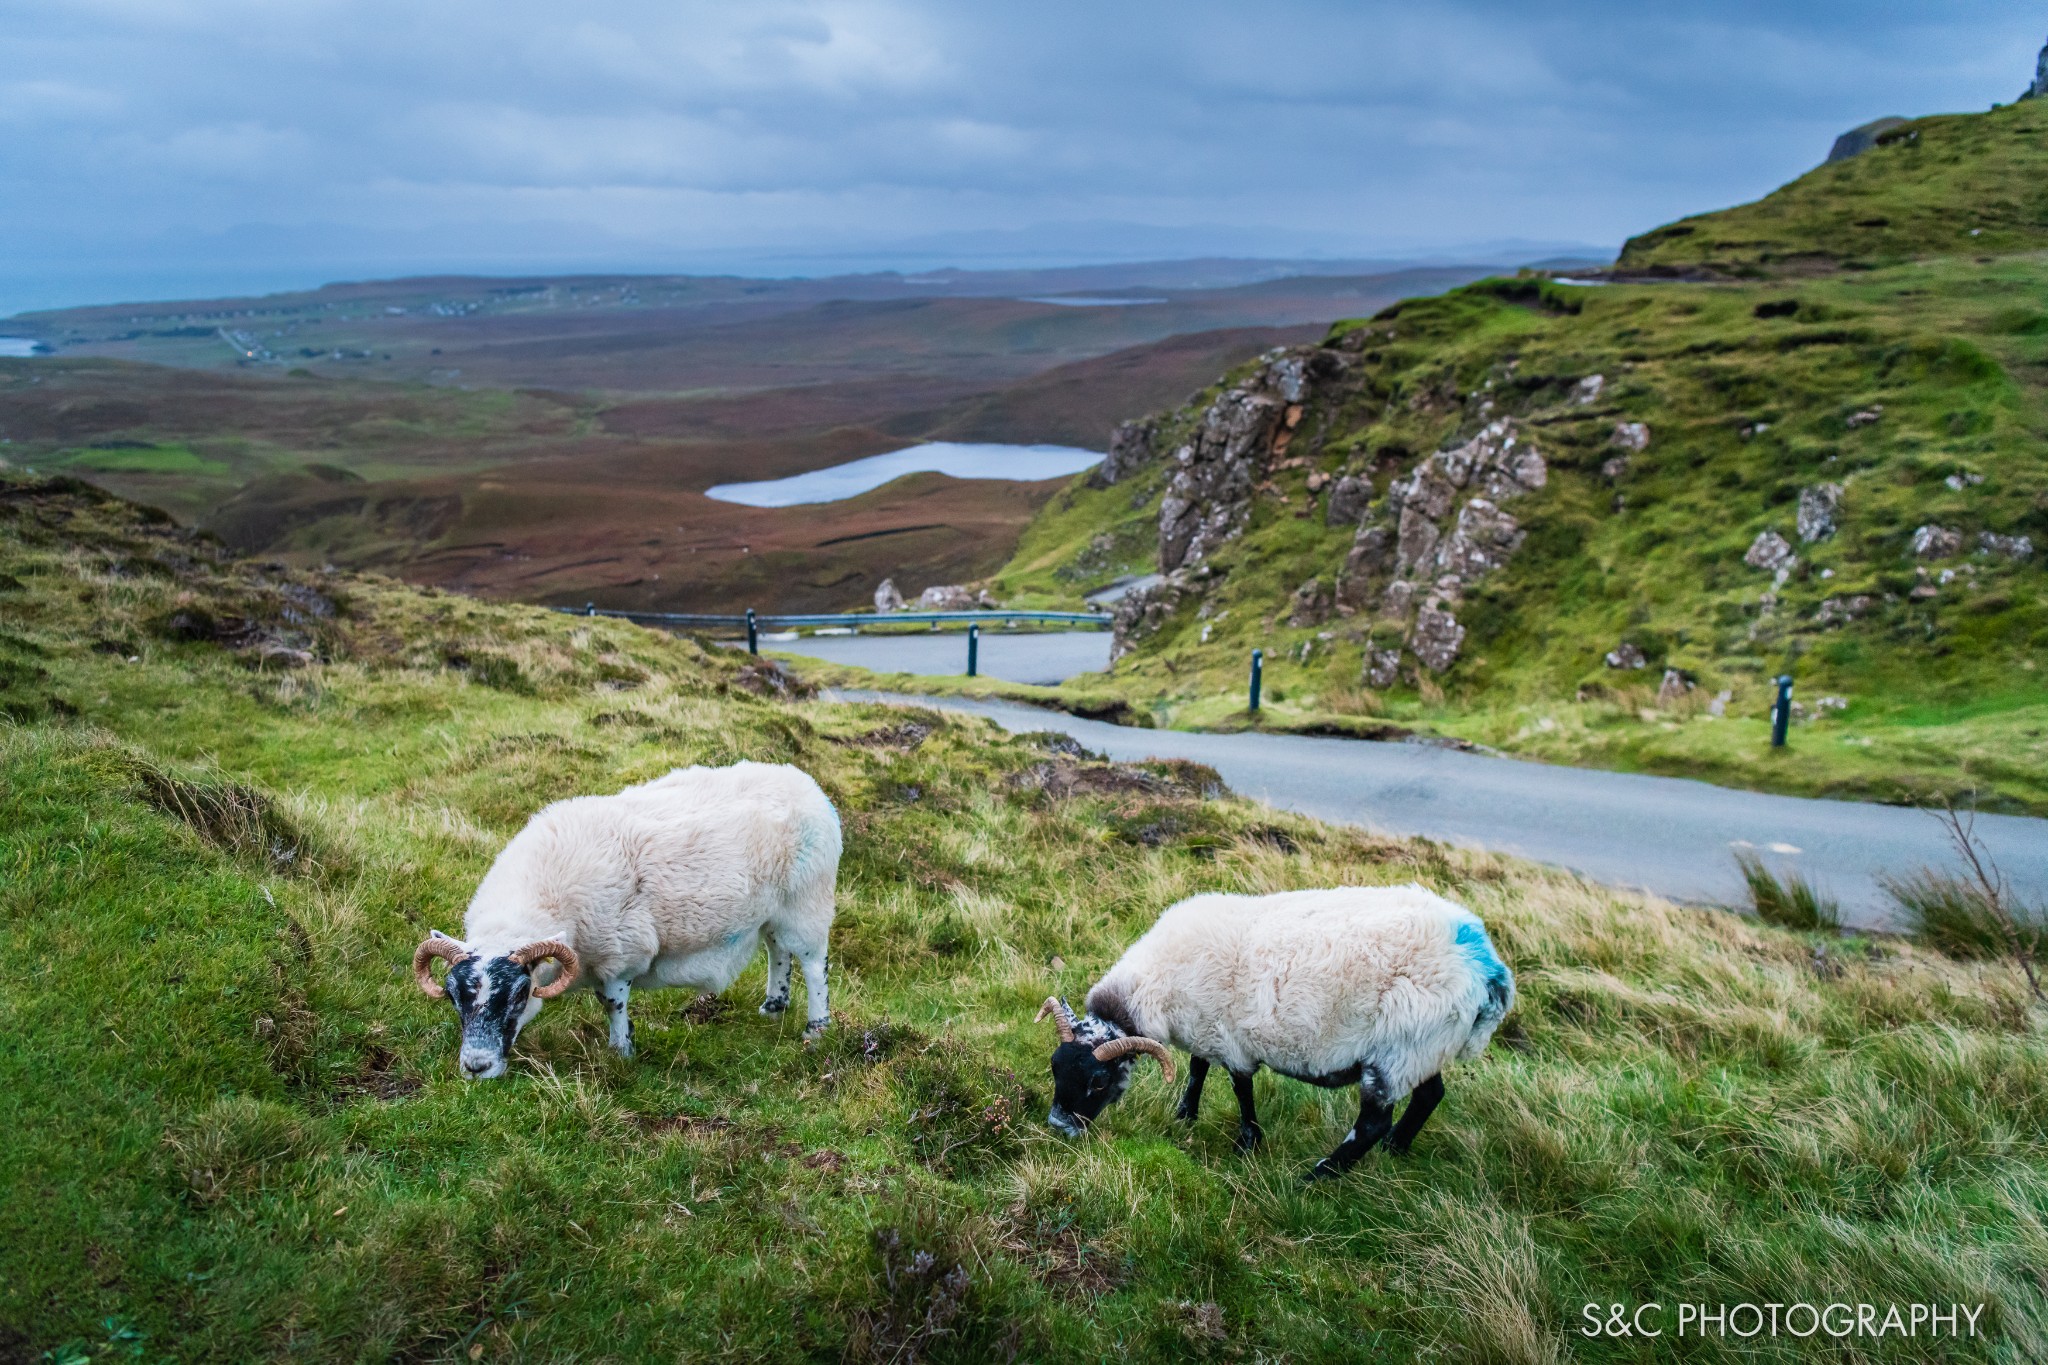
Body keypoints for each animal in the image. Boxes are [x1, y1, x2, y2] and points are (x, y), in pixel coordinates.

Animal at [415, 757, 839, 1080]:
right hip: (775, 910)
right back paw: (773, 1007)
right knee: (777, 950)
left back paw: (815, 1030)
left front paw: (621, 1050)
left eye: (520, 994)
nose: (476, 1067)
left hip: (808, 902)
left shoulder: (619, 953)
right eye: (453, 996)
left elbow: (612, 1003)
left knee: (814, 964)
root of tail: (807, 785)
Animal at [1040, 879, 1507, 1178]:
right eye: (1054, 1066)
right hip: (1424, 1050)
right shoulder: (1205, 1030)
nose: (1059, 1127)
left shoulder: (1232, 1042)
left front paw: (1247, 1142)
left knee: (1372, 1123)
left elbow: (1241, 1090)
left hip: (1397, 1053)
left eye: (1099, 1082)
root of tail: (1486, 966)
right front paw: (1185, 1114)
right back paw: (1397, 1148)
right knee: (1430, 1095)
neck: (1157, 981)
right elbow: (1196, 1069)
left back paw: (1320, 1174)